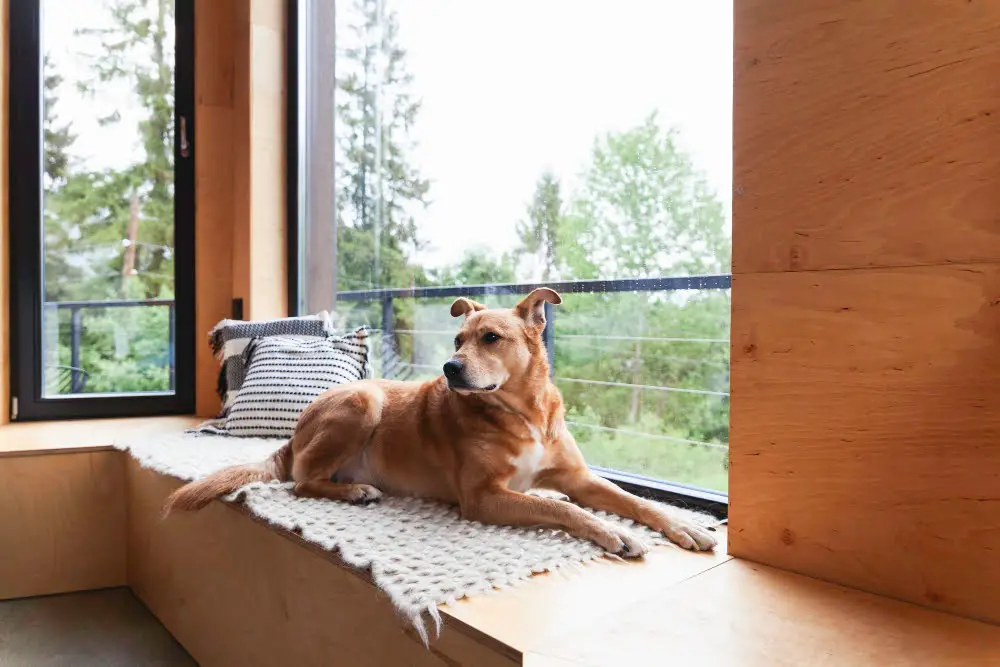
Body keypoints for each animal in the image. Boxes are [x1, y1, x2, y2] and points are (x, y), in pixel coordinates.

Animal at [164, 290, 716, 556]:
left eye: (491, 337)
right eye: (457, 340)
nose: (450, 369)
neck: (524, 414)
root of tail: (292, 435)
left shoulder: (577, 477)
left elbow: (634, 501)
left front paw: (684, 525)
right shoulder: (483, 497)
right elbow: (562, 509)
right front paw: (610, 533)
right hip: (363, 399)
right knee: (301, 481)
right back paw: (354, 491)